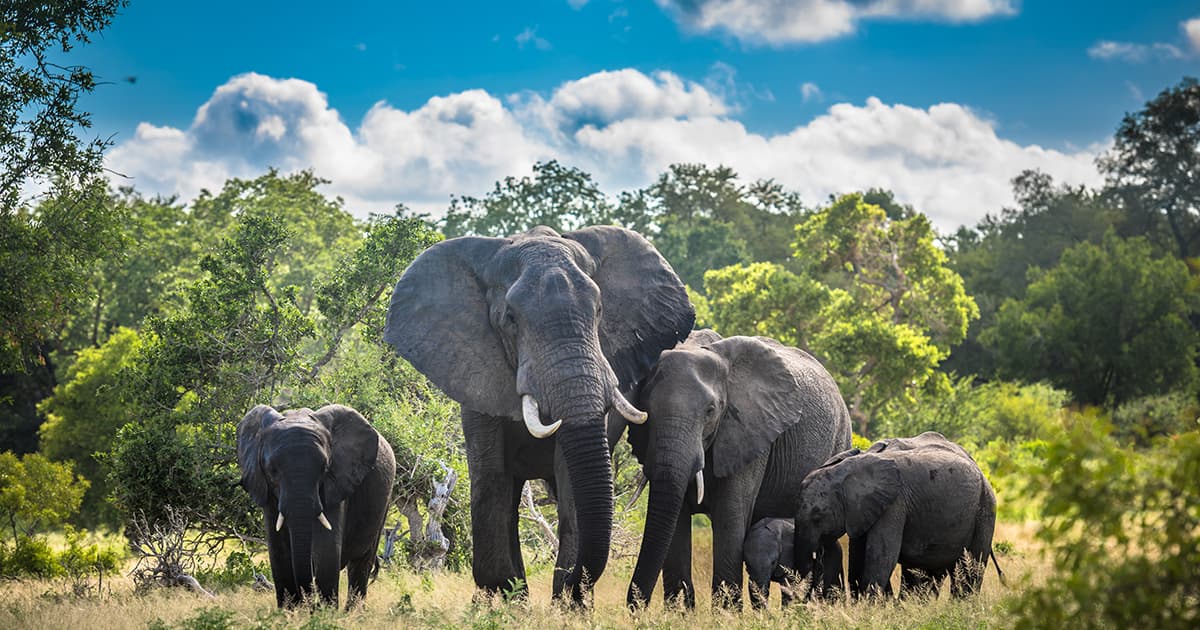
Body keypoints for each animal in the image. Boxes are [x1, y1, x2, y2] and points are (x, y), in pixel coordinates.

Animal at [236, 404, 396, 609]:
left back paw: (353, 613)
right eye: (272, 470)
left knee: (361, 563)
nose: (311, 605)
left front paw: (326, 613)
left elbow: (327, 551)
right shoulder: (268, 493)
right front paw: (288, 612)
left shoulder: (337, 484)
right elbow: (279, 552)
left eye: (324, 468)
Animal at [383, 225, 693, 604]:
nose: (575, 584)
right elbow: (492, 479)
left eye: (599, 310)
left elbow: (571, 482)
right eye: (510, 319)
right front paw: (506, 599)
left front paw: (567, 603)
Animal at [625, 330, 853, 610]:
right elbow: (676, 519)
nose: (634, 606)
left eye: (710, 411)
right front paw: (679, 613)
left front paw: (726, 613)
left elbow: (729, 514)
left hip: (839, 441)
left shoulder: (750, 431)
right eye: (646, 409)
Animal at [793, 432, 999, 600]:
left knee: (969, 569)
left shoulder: (894, 504)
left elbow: (881, 557)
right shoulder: (862, 510)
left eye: (818, 516)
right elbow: (858, 557)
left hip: (984, 510)